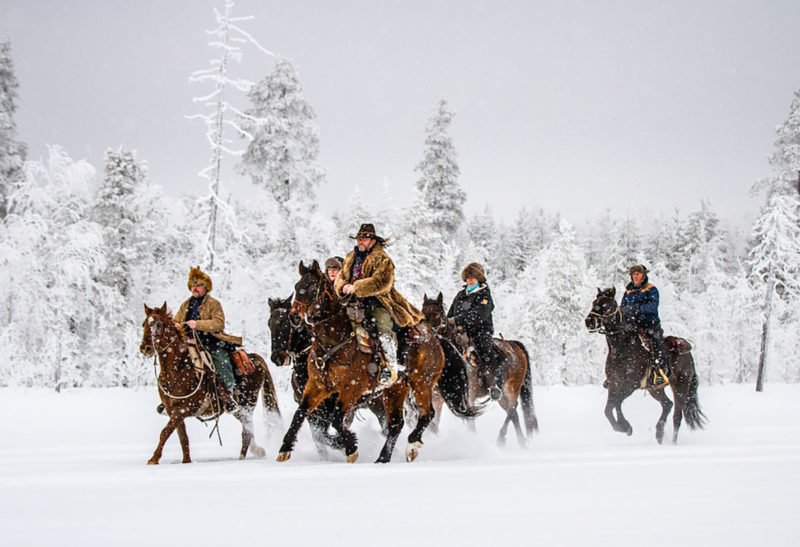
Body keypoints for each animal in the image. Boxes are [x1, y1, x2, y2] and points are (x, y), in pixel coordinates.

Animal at [140, 302, 282, 464]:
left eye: (159, 323)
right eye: (144, 324)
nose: (145, 348)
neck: (178, 368)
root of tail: (254, 358)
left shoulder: (182, 409)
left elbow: (165, 431)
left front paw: (153, 459)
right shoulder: (172, 410)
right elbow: (183, 437)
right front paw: (186, 460)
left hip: (248, 403)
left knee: (246, 431)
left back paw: (241, 458)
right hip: (238, 409)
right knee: (248, 429)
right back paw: (258, 451)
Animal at [276, 260, 482, 462]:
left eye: (312, 288)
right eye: (297, 287)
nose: (294, 316)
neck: (334, 342)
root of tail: (434, 338)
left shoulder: (351, 389)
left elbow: (336, 420)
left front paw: (350, 448)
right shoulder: (318, 386)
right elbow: (301, 413)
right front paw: (284, 449)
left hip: (421, 383)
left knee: (426, 414)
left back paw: (411, 446)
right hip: (395, 390)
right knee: (396, 424)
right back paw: (383, 458)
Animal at [418, 294, 536, 448]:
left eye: (437, 313)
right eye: (422, 311)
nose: (423, 334)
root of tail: (514, 345)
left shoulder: (469, 400)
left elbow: (470, 425)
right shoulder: (437, 398)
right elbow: (434, 424)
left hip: (511, 389)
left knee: (512, 409)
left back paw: (501, 439)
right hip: (503, 396)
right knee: (514, 414)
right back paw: (520, 442)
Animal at [580, 286, 708, 446]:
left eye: (605, 304)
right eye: (594, 302)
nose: (589, 321)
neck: (622, 348)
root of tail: (688, 351)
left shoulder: (630, 385)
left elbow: (616, 403)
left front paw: (625, 427)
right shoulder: (614, 384)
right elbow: (608, 409)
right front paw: (621, 427)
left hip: (681, 386)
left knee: (677, 417)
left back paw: (672, 442)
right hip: (655, 389)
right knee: (667, 404)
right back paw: (659, 433)